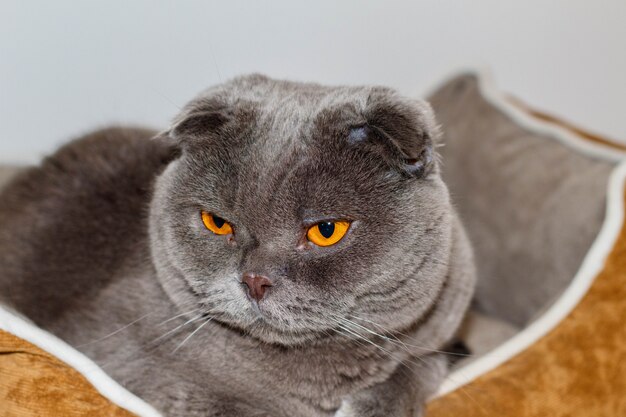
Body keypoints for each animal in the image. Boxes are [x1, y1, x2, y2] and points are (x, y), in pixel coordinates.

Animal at [0, 75, 472, 416]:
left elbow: (420, 365)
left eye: (326, 230)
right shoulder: (122, 355)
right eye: (217, 223)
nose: (255, 279)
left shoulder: (439, 333)